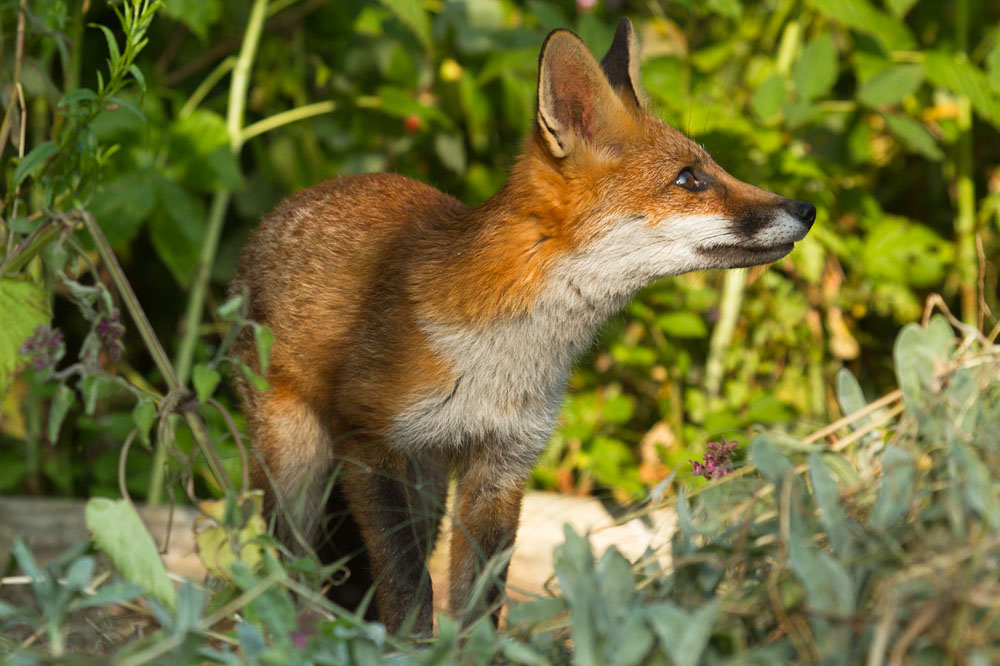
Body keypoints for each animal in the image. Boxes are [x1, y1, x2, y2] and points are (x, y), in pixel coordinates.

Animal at [229, 17, 815, 635]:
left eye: (710, 168)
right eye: (689, 180)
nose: (806, 210)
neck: (505, 357)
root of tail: (285, 207)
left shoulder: (504, 462)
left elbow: (480, 604)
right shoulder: (368, 439)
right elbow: (409, 589)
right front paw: (407, 645)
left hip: (428, 483)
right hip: (299, 463)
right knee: (284, 568)